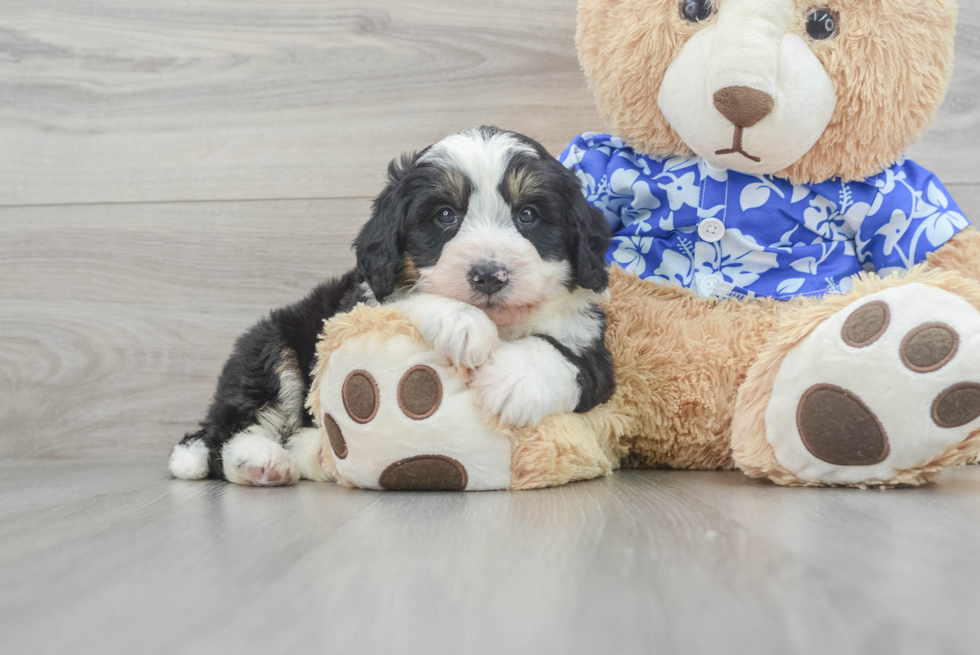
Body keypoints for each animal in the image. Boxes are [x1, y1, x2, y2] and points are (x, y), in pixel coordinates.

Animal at [168, 128, 612, 486]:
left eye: (528, 215)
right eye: (445, 215)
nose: (489, 275)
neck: (502, 322)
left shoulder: (592, 346)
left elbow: (561, 355)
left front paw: (511, 382)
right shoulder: (356, 306)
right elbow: (406, 298)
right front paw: (463, 325)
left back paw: (310, 452)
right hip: (272, 349)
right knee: (230, 430)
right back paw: (259, 461)